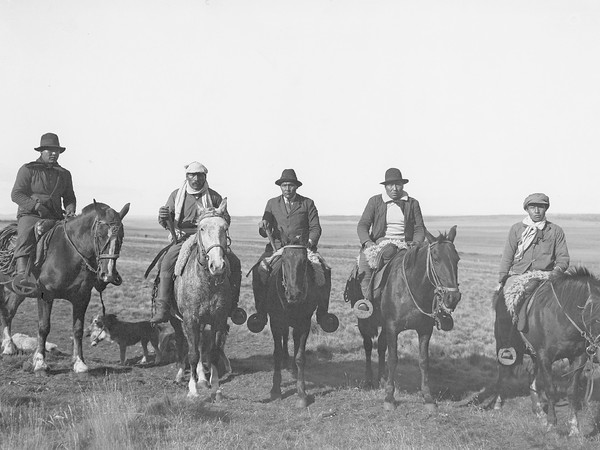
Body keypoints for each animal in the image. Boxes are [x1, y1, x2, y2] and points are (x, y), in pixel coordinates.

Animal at [0, 202, 129, 374]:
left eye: (121, 236)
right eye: (100, 235)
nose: (108, 274)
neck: (69, 253)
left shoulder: (82, 298)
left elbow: (78, 329)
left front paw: (79, 362)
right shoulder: (45, 295)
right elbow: (44, 327)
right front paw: (40, 362)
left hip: (18, 292)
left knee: (8, 312)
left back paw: (9, 346)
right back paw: (8, 346)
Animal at [382, 227, 462, 410]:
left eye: (457, 259)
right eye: (436, 259)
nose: (453, 297)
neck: (411, 288)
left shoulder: (425, 330)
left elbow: (424, 361)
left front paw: (428, 398)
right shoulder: (391, 328)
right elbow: (392, 359)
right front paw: (389, 397)